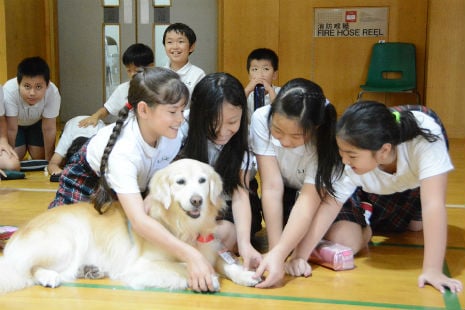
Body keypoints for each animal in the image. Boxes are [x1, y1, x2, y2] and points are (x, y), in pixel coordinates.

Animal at [0, 159, 260, 294]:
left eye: (202, 181)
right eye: (180, 182)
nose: (197, 200)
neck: (182, 227)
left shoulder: (210, 248)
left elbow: (227, 264)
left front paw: (246, 275)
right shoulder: (142, 265)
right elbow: (187, 265)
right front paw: (208, 277)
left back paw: (89, 270)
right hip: (66, 241)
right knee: (28, 269)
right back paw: (49, 277)